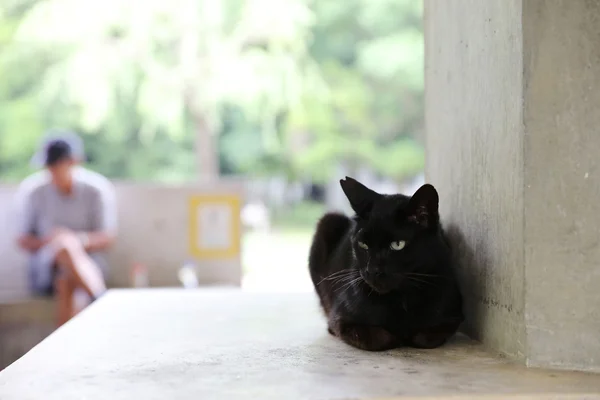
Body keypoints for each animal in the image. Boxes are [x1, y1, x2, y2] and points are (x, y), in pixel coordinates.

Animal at [310, 177, 464, 350]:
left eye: (397, 244)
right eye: (363, 244)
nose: (372, 270)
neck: (401, 299)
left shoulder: (451, 317)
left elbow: (424, 338)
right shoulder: (342, 319)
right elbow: (380, 338)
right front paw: (397, 338)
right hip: (328, 221)